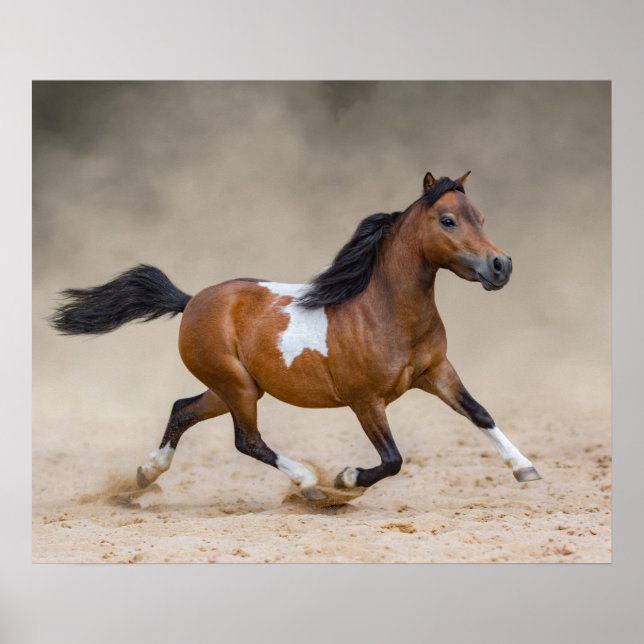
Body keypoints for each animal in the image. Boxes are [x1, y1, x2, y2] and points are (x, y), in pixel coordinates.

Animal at [50, 171, 541, 503]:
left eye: (481, 217)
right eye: (448, 220)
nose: (501, 266)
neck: (383, 311)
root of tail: (191, 302)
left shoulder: (437, 372)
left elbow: (480, 413)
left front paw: (526, 468)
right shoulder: (365, 400)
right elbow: (392, 459)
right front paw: (345, 479)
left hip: (232, 388)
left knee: (183, 410)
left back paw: (143, 476)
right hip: (238, 387)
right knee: (247, 440)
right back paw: (310, 484)